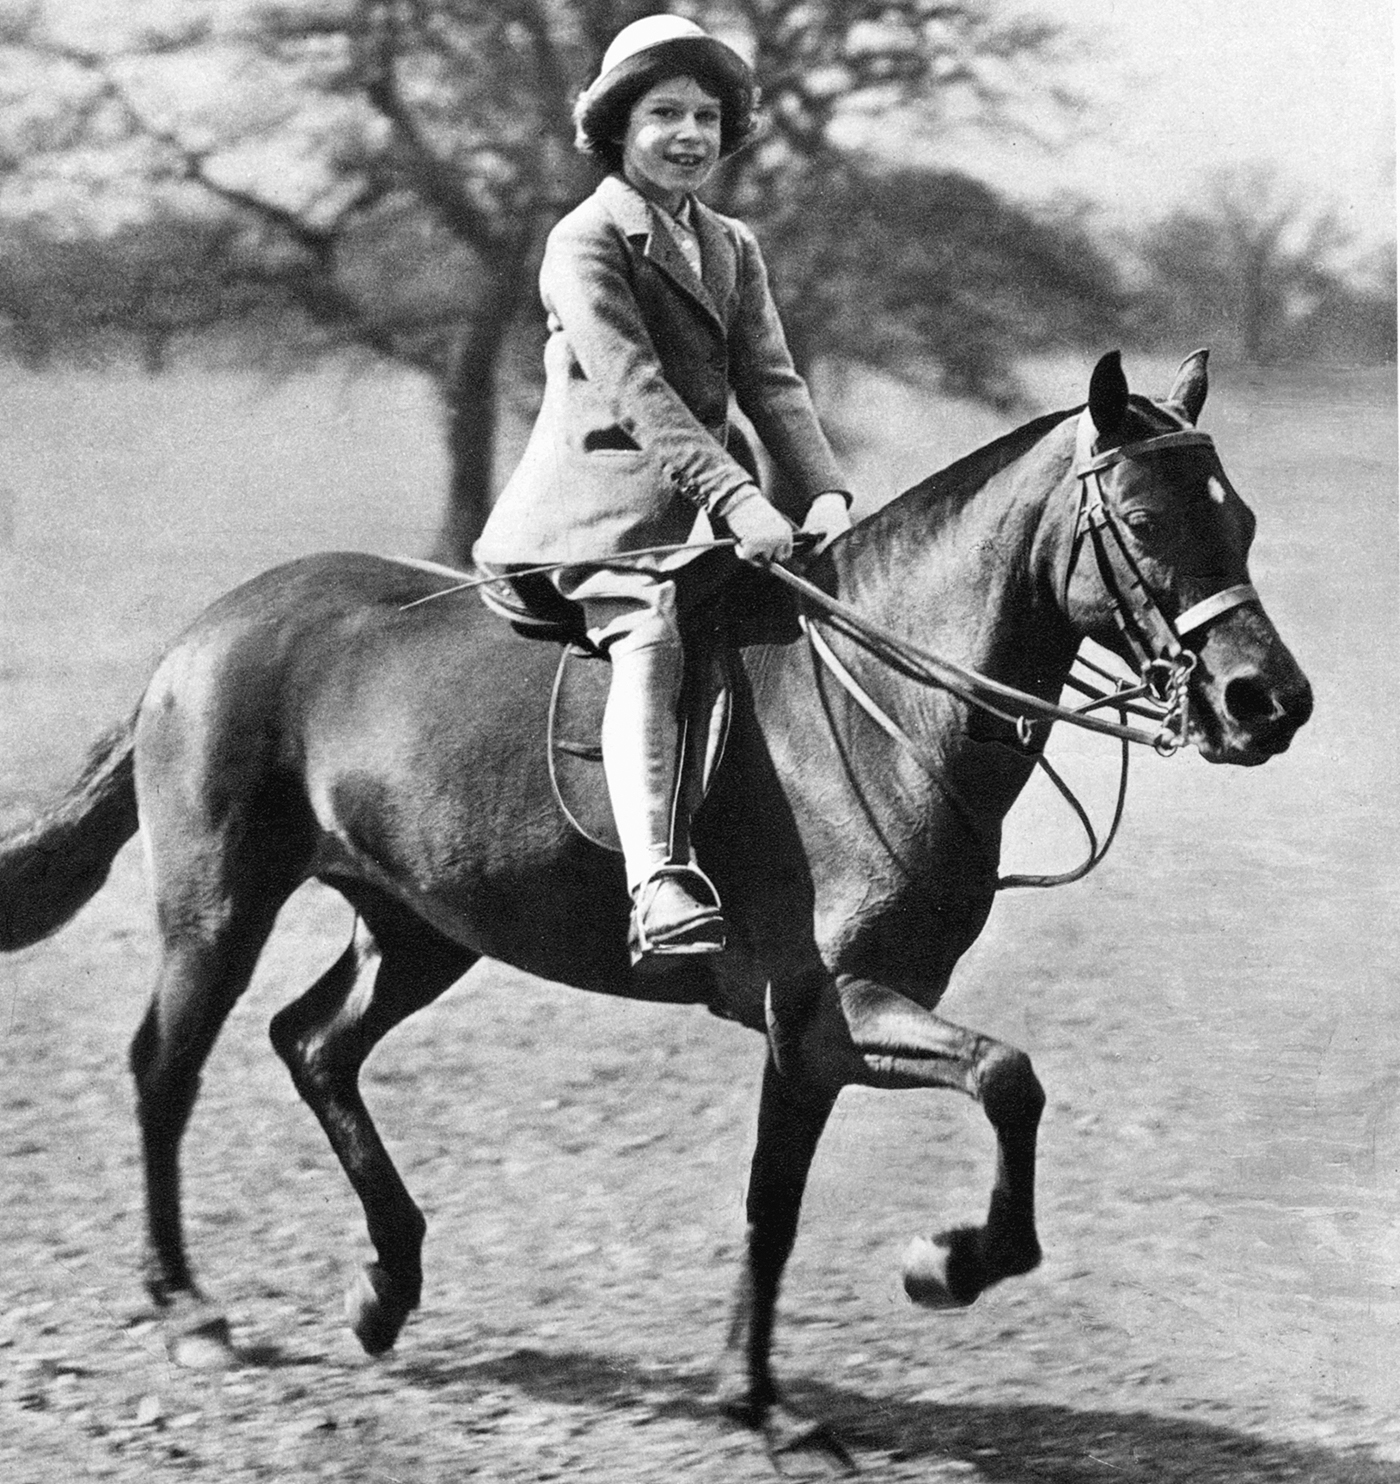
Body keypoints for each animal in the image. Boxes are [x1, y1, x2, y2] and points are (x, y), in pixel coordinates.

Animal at [0, 350, 1311, 1455]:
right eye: (1141, 520)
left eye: (1238, 518)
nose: (1268, 703)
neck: (885, 701)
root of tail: (202, 633)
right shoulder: (832, 1007)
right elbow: (999, 1081)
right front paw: (934, 1270)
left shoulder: (821, 1033)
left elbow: (783, 1200)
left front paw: (762, 1391)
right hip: (219, 906)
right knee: (167, 1068)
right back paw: (189, 1307)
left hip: (421, 927)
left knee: (312, 1042)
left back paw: (385, 1287)